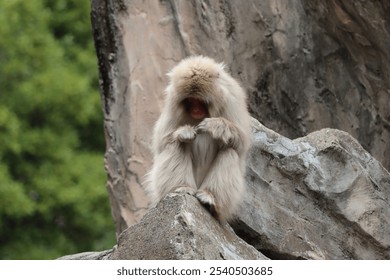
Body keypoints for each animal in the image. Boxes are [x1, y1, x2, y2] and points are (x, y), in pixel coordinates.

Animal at [145, 55, 251, 221]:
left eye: (200, 101)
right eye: (190, 100)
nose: (195, 109)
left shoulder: (232, 99)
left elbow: (241, 143)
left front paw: (216, 126)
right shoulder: (172, 103)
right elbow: (162, 142)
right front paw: (184, 132)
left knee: (230, 151)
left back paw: (210, 198)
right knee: (176, 145)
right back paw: (181, 187)